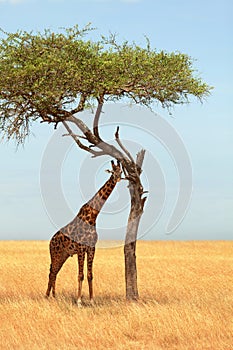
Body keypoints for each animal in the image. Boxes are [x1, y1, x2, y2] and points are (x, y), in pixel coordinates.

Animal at [45, 160, 122, 304]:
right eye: (112, 171)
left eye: (121, 171)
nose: (118, 178)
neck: (93, 217)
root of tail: (51, 241)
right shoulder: (81, 247)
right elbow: (80, 275)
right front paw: (79, 301)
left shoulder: (91, 248)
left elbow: (90, 275)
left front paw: (91, 300)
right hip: (55, 253)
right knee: (52, 272)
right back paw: (47, 296)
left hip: (63, 255)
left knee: (55, 272)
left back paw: (54, 296)